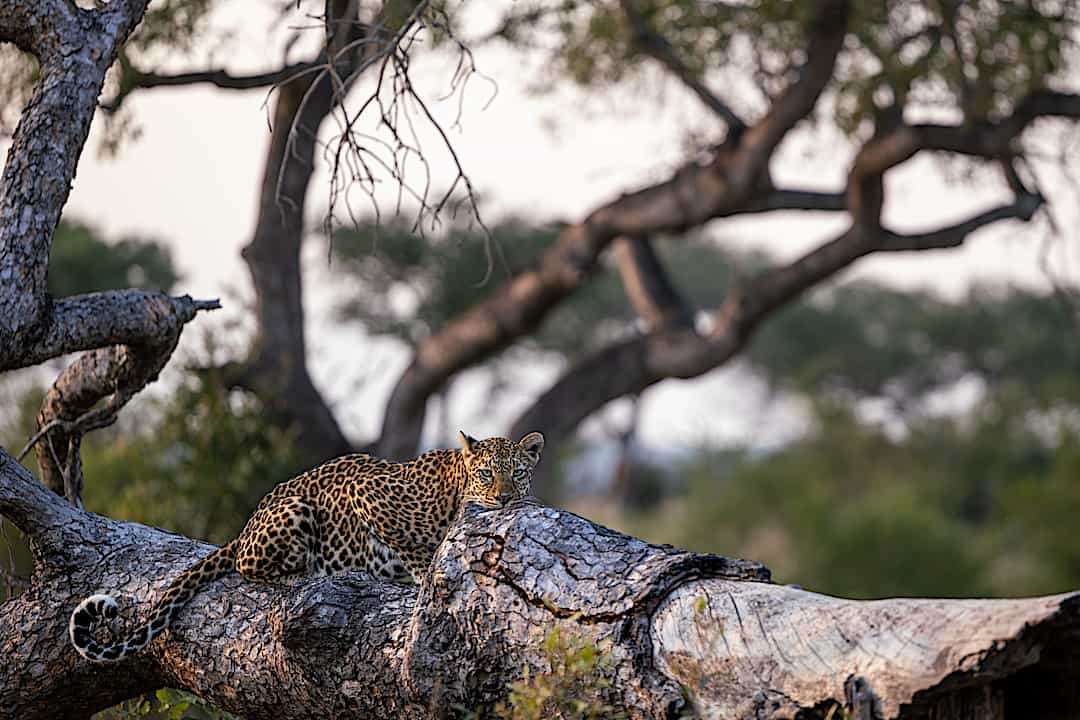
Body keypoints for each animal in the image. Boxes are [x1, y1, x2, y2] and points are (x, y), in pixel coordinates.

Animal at [69, 430, 545, 662]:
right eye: (485, 474)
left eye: (518, 473)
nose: (504, 499)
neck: (453, 493)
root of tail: (248, 523)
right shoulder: (368, 489)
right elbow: (411, 548)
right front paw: (424, 572)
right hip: (296, 510)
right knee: (246, 565)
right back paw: (302, 573)